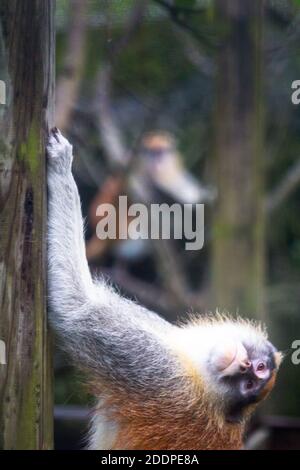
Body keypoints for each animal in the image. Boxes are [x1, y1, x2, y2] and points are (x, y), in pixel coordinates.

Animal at [47, 127, 282, 448]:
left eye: (248, 383)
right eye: (257, 370)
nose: (243, 365)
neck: (204, 385)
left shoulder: (158, 373)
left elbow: (76, 307)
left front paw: (61, 166)